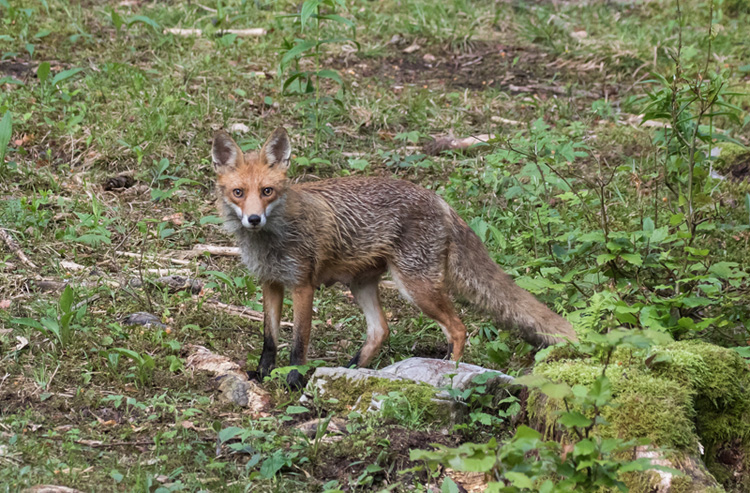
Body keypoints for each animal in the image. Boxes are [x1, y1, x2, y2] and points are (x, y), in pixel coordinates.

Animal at [214, 127, 580, 388]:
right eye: (238, 193)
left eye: (267, 191)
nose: (253, 219)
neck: (271, 241)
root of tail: (440, 201)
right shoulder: (270, 282)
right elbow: (269, 340)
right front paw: (262, 375)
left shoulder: (303, 285)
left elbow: (298, 343)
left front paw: (293, 381)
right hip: (362, 284)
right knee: (381, 330)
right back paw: (351, 370)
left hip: (416, 287)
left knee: (458, 328)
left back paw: (449, 373)